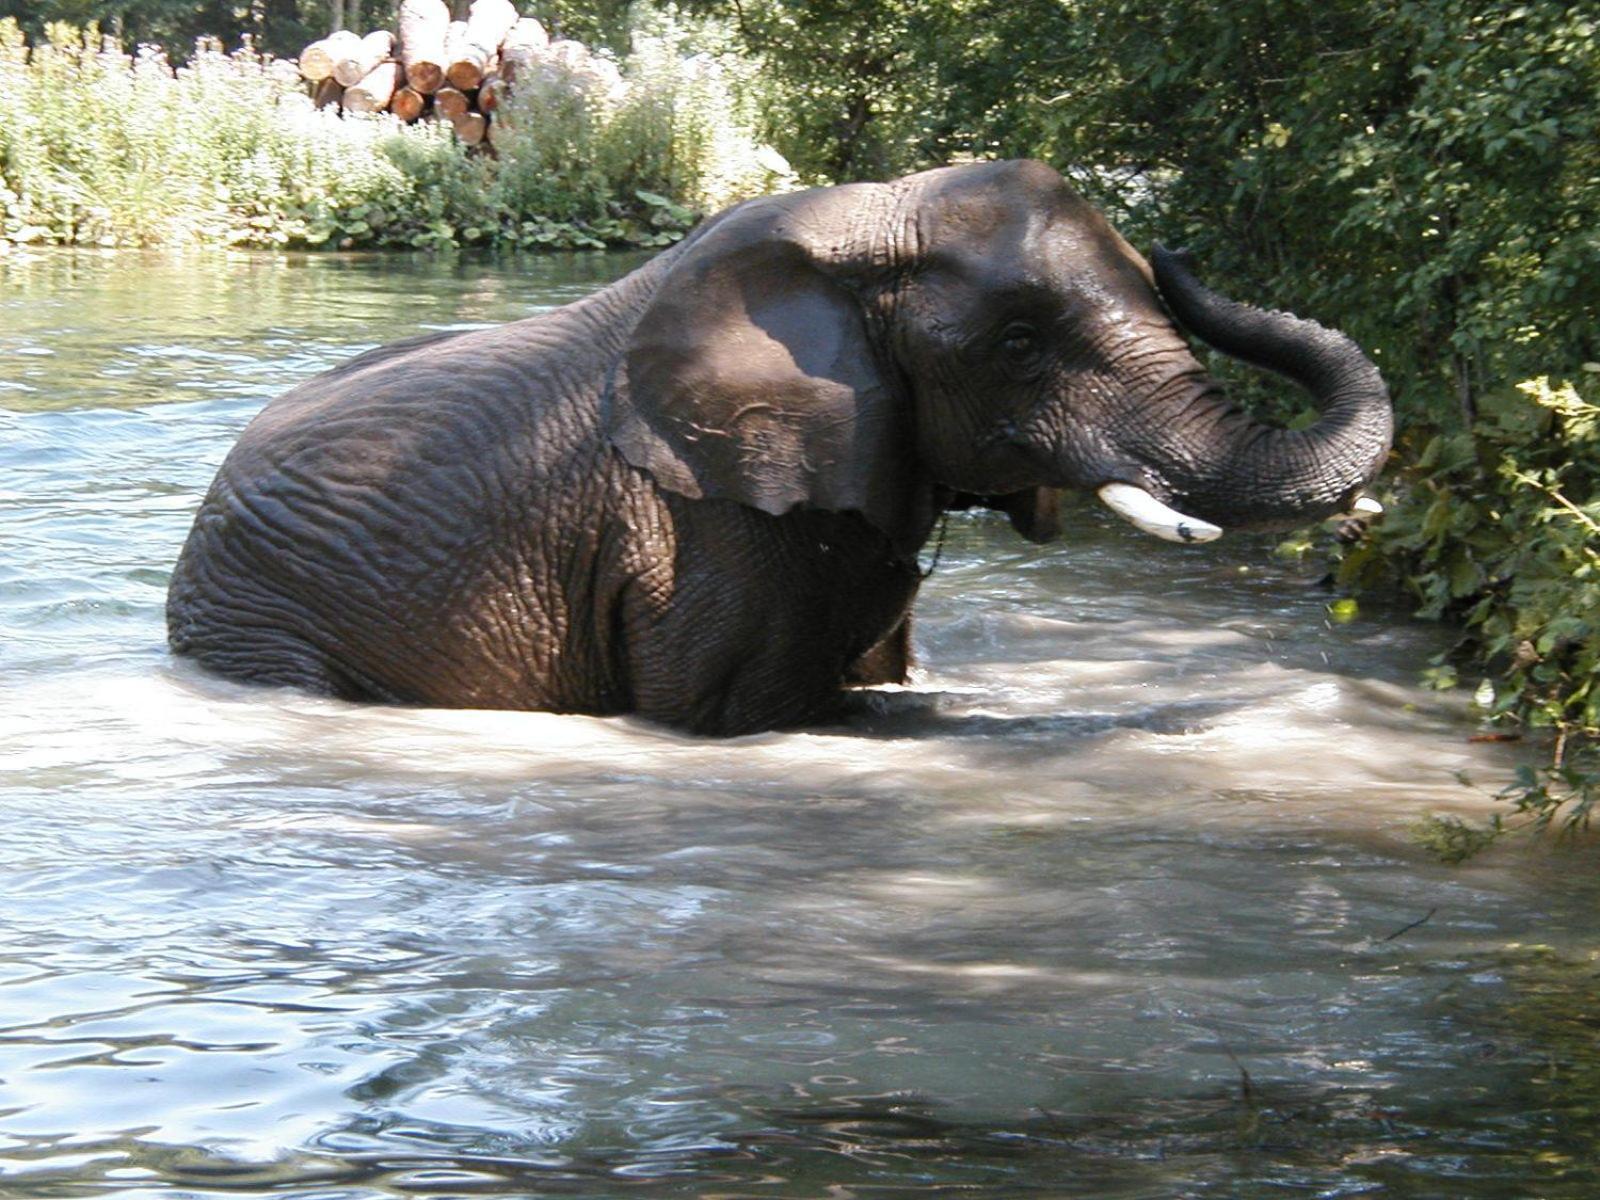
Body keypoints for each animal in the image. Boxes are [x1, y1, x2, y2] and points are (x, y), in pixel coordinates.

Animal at [165, 160, 1388, 739]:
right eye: (1020, 343)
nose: (1180, 249)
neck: (869, 219)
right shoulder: (705, 523)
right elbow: (735, 711)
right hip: (255, 614)